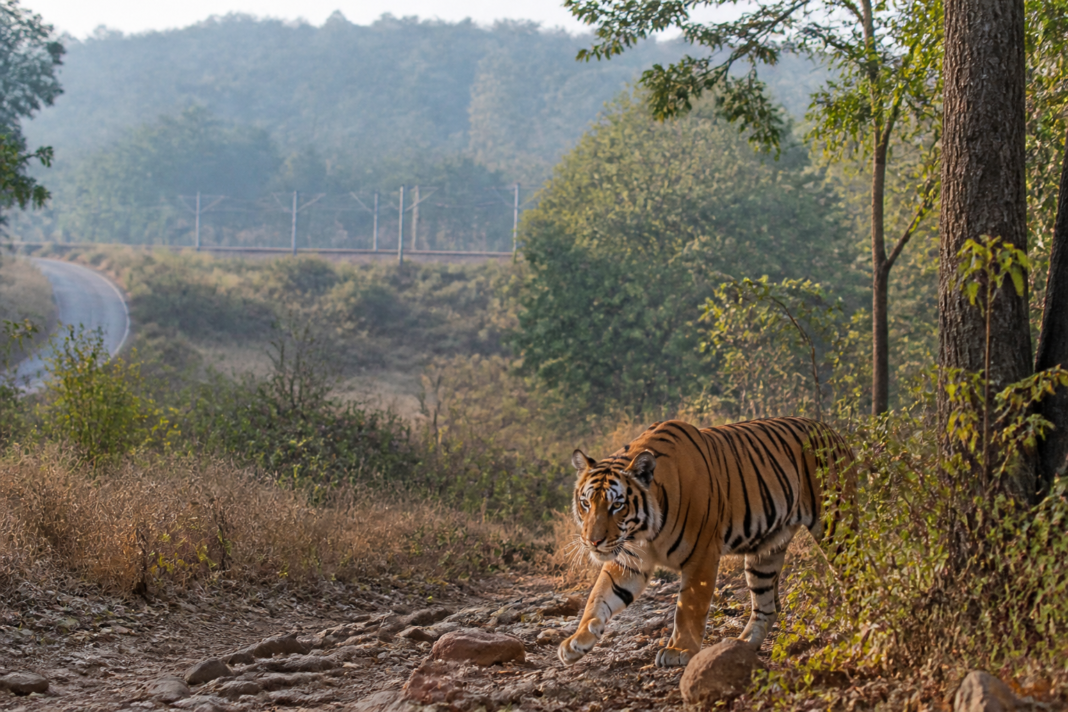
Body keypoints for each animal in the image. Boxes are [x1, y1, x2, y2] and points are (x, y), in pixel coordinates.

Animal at [558, 417, 855, 668]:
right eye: (586, 503)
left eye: (617, 505)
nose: (593, 541)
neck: (643, 532)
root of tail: (831, 430)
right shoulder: (629, 560)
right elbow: (599, 597)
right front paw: (576, 642)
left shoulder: (701, 555)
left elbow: (689, 607)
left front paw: (679, 651)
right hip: (765, 553)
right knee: (767, 607)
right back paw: (743, 643)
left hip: (836, 525)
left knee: (855, 570)